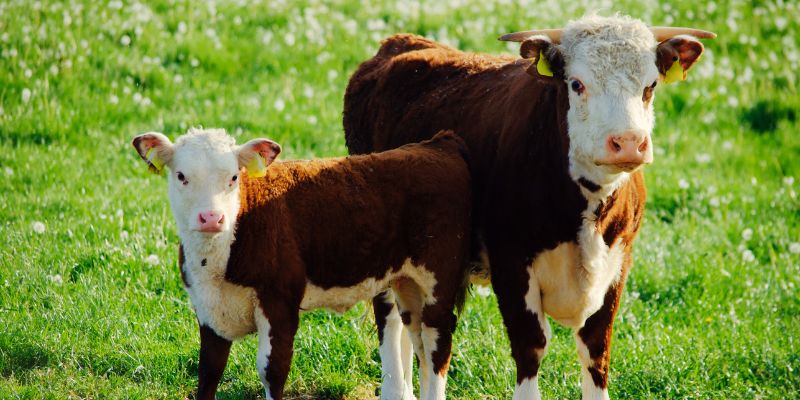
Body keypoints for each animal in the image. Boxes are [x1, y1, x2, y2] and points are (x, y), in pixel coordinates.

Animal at [134, 129, 472, 400]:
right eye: (181, 176)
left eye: (233, 177)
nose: (211, 218)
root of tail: (438, 145)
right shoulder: (207, 309)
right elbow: (208, 372)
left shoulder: (280, 301)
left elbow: (272, 370)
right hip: (407, 284)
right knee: (421, 348)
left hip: (438, 281)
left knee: (437, 348)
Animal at [344, 14, 712, 400]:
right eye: (576, 84)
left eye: (650, 85)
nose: (627, 143)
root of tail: (402, 42)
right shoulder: (511, 265)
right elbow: (531, 346)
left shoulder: (618, 265)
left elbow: (597, 349)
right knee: (388, 316)